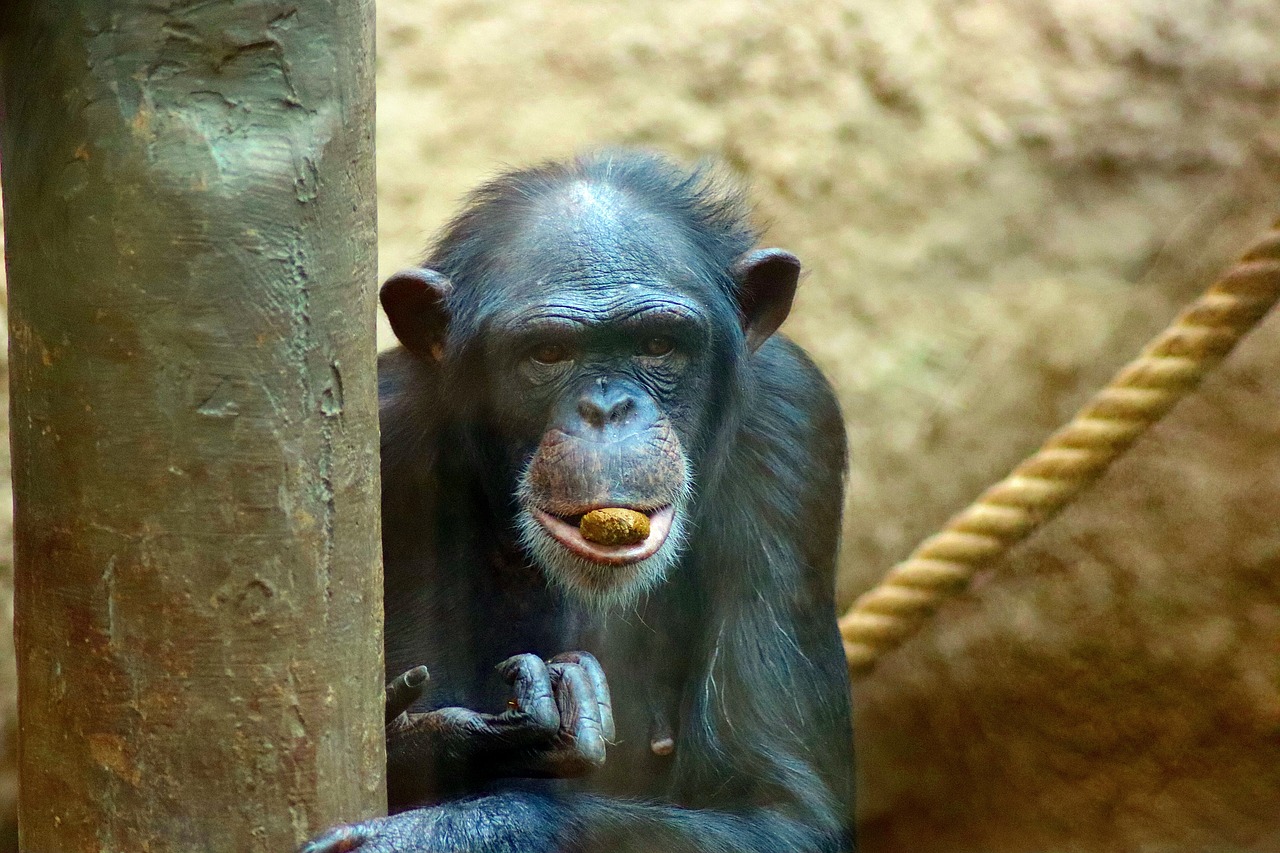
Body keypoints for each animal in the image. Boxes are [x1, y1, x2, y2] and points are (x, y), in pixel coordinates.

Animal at [304, 149, 855, 845]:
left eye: (657, 344)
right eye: (548, 353)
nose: (607, 408)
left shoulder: (794, 428)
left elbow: (783, 813)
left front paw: (445, 833)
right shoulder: (382, 430)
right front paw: (438, 740)